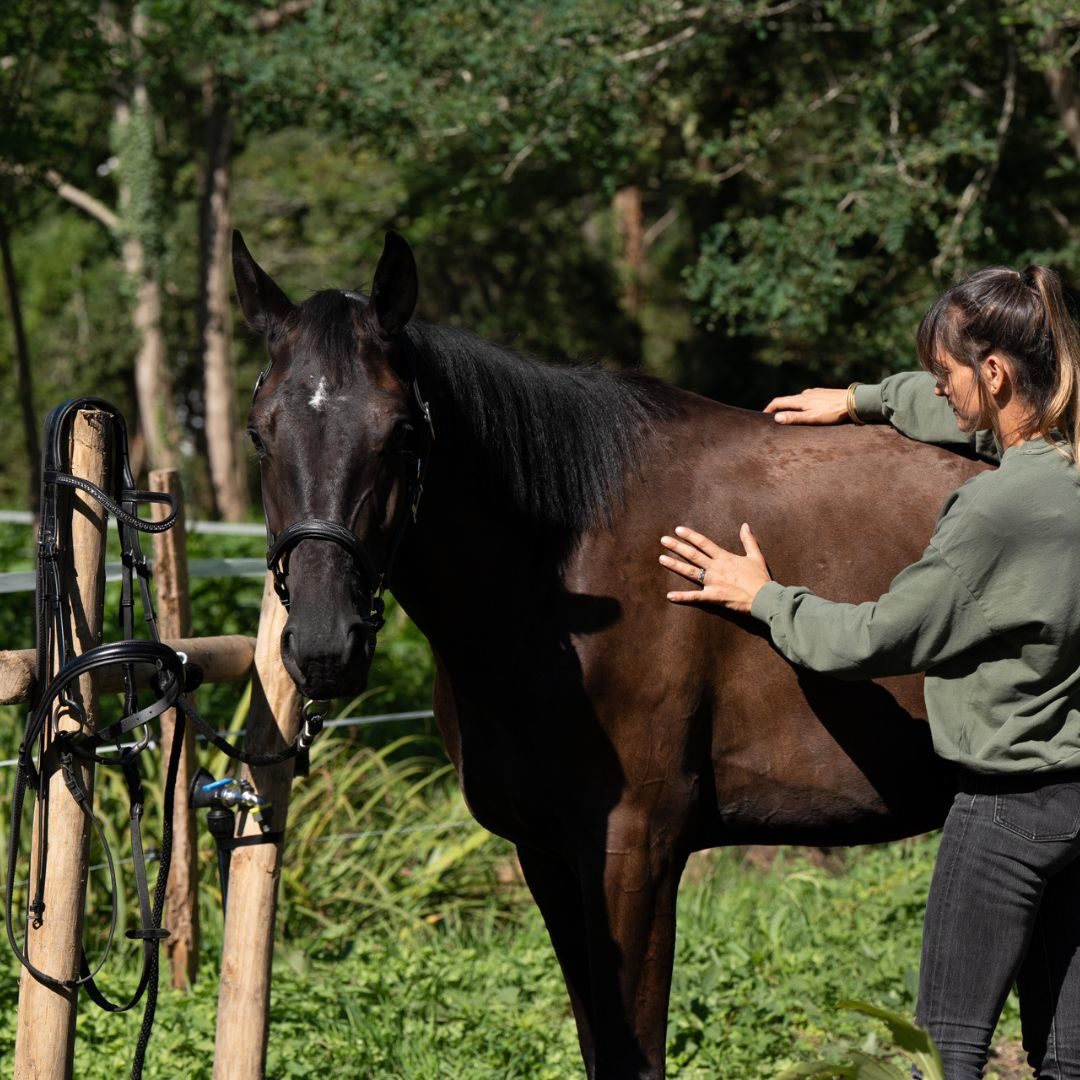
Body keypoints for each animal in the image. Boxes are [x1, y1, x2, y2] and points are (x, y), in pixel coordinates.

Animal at [232, 229, 990, 1079]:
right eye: (260, 434)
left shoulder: (637, 851)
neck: (565, 573)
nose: (326, 644)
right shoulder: (547, 853)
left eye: (400, 432)